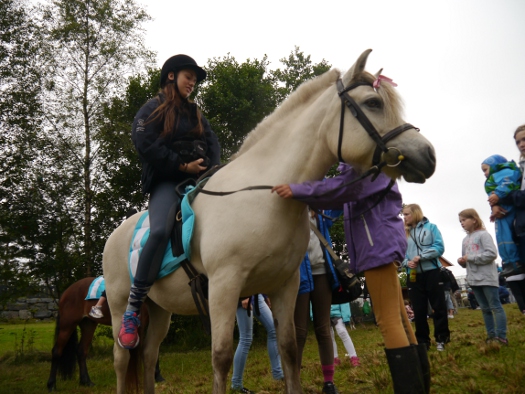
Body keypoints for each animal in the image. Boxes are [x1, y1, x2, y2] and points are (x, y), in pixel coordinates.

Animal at [102, 50, 434, 394]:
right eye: (373, 103)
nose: (427, 155)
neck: (264, 195)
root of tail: (114, 235)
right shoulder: (224, 286)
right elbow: (222, 356)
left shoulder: (284, 285)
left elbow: (289, 348)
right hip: (121, 303)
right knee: (122, 357)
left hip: (160, 309)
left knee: (149, 355)